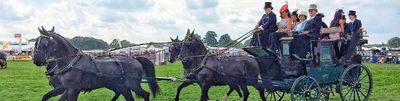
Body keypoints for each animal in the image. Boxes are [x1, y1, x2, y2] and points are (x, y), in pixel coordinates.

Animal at [32, 26, 160, 100]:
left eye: (45, 43)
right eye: (36, 42)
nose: (36, 60)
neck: (71, 63)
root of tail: (135, 59)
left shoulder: (73, 89)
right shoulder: (64, 88)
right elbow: (45, 96)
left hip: (133, 85)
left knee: (146, 94)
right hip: (122, 86)